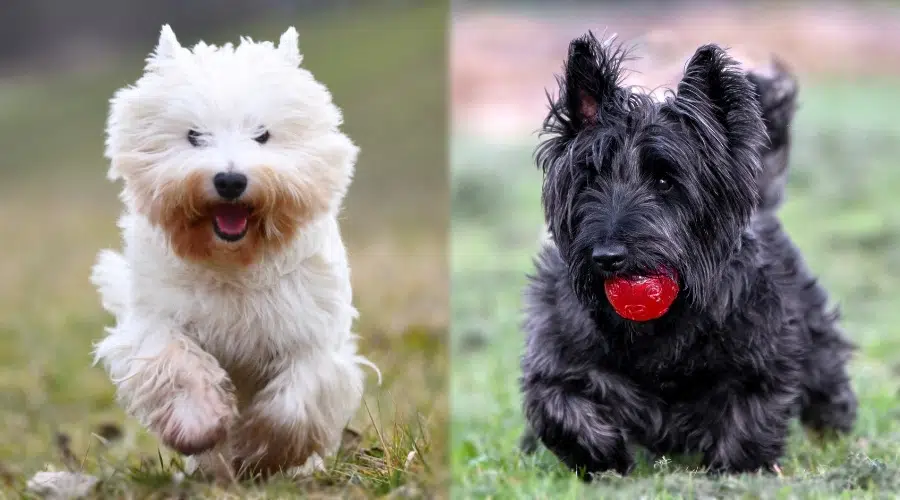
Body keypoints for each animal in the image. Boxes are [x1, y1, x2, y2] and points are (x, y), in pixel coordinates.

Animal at [88, 25, 376, 478]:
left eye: (263, 134)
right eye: (194, 135)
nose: (229, 180)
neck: (233, 262)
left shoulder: (312, 333)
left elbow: (296, 401)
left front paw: (265, 453)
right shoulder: (157, 321)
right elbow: (179, 365)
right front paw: (198, 425)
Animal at [516, 33, 856, 478]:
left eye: (665, 180)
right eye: (591, 178)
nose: (606, 256)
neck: (660, 326)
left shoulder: (756, 360)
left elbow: (747, 418)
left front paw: (737, 474)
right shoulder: (560, 352)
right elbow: (560, 404)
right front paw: (602, 459)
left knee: (826, 381)